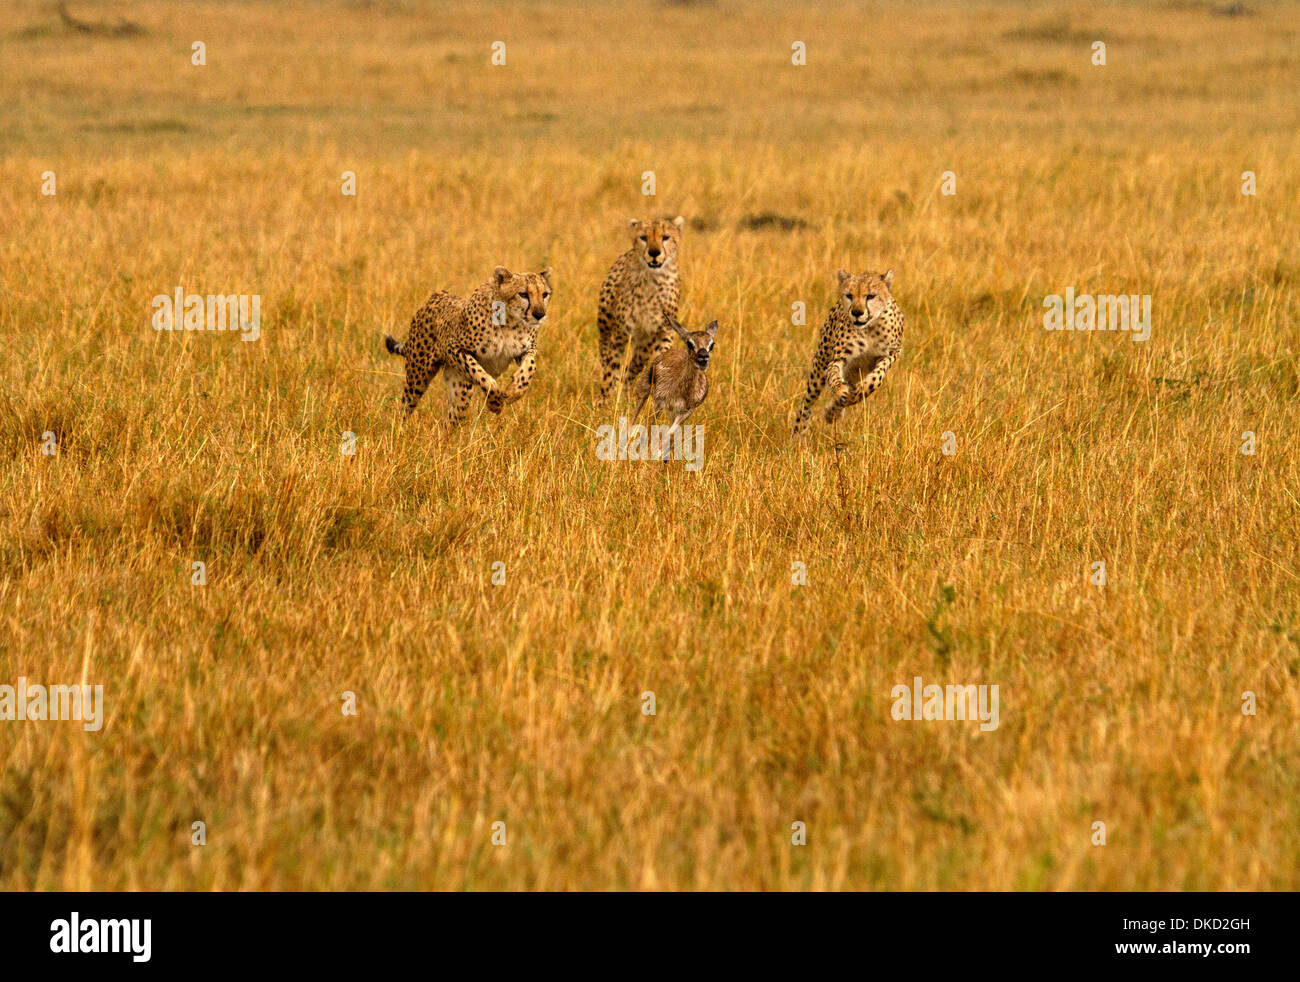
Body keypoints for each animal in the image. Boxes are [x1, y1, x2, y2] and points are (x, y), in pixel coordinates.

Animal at [382, 265, 551, 426]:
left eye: (545, 294)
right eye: (523, 294)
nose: (540, 315)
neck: (510, 322)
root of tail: (437, 296)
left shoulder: (527, 350)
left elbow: (530, 367)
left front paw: (514, 392)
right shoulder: (453, 347)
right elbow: (481, 375)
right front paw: (495, 403)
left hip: (460, 391)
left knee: (449, 420)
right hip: (418, 374)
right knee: (406, 405)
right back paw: (400, 430)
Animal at [595, 215, 686, 400]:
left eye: (665, 237)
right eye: (643, 237)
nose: (654, 252)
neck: (652, 280)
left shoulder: (659, 332)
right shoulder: (620, 335)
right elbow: (610, 370)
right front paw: (606, 400)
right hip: (606, 323)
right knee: (605, 350)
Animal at [790, 269, 904, 437]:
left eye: (871, 296)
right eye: (849, 295)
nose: (857, 312)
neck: (869, 328)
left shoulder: (892, 353)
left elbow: (875, 380)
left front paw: (856, 393)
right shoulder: (838, 359)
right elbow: (834, 375)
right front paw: (840, 391)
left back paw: (833, 412)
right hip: (819, 368)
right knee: (806, 403)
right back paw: (799, 433)